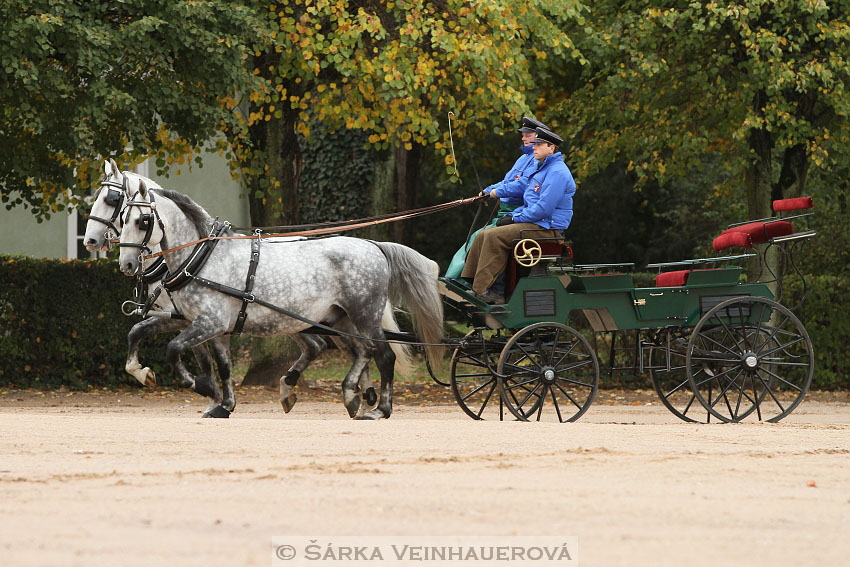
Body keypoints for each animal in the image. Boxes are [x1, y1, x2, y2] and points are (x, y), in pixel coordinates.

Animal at [117, 180, 444, 420]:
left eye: (143, 220)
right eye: (122, 217)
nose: (127, 264)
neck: (202, 258)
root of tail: (373, 245)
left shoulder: (209, 323)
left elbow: (174, 349)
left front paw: (199, 385)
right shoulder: (207, 326)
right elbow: (217, 363)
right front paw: (218, 403)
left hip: (363, 315)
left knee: (383, 355)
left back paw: (379, 409)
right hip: (339, 319)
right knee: (362, 352)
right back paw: (350, 395)